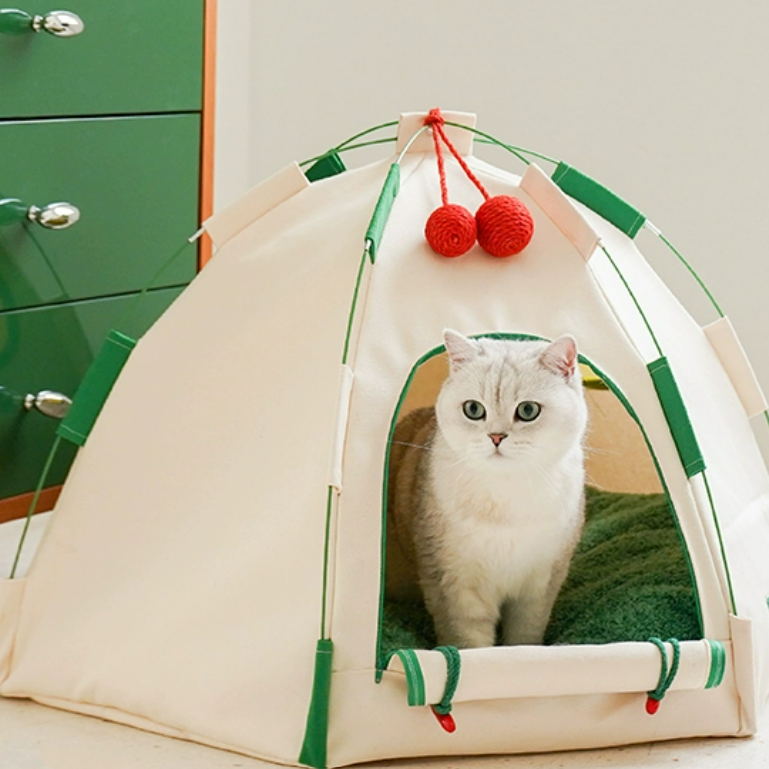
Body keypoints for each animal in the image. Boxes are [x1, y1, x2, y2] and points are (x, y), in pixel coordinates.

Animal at [388, 330, 584, 648]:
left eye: (528, 410)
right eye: (473, 409)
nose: (496, 437)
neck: (506, 495)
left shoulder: (540, 584)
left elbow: (525, 635)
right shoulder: (452, 584)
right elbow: (468, 641)